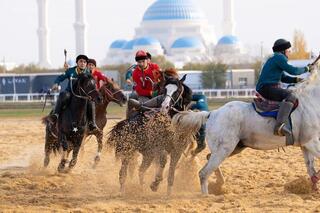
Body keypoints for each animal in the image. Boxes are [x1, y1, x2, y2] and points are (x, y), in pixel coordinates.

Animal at [174, 67, 320, 194]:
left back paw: (220, 184)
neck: (310, 101)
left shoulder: (305, 145)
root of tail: (212, 113)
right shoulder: (312, 142)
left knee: (209, 158)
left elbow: (311, 169)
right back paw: (206, 195)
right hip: (224, 150)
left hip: (234, 148)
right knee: (203, 173)